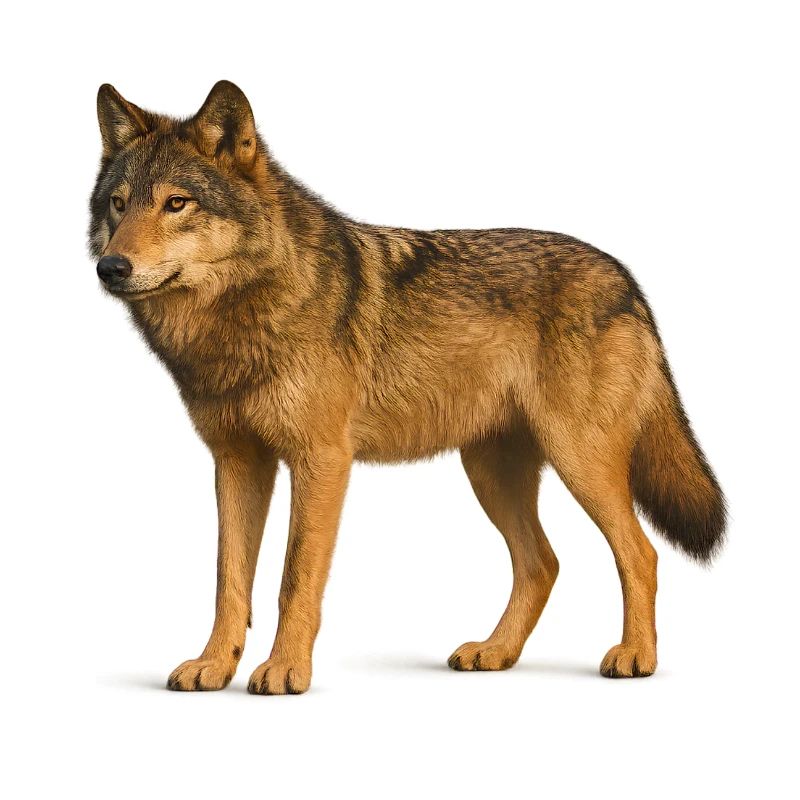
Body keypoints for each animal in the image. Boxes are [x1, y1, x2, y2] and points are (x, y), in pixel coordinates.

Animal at [90, 81, 726, 693]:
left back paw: (635, 656)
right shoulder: (237, 461)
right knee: (542, 563)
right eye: (118, 205)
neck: (240, 316)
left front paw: (286, 670)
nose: (111, 267)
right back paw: (495, 653)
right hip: (491, 473)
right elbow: (229, 581)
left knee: (640, 553)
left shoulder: (322, 461)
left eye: (176, 203)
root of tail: (627, 280)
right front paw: (213, 667)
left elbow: (294, 579)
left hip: (579, 461)